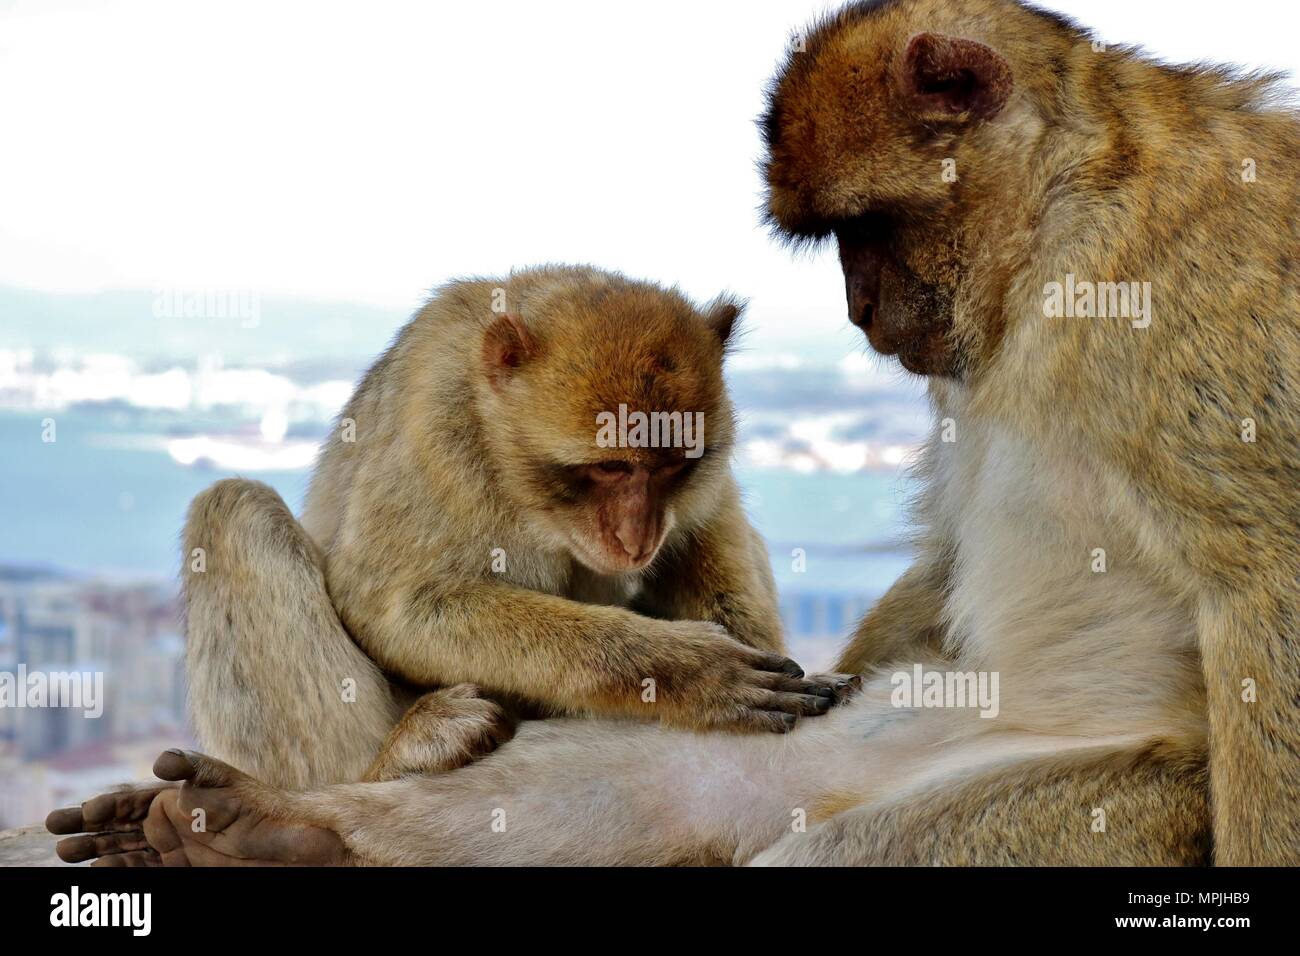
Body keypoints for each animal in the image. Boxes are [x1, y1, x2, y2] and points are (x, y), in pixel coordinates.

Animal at [45, 0, 1294, 868]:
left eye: (865, 228)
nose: (858, 305)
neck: (1062, 219)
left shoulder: (1175, 286)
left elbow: (1260, 575)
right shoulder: (440, 418)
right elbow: (406, 594)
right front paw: (686, 668)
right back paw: (275, 822)